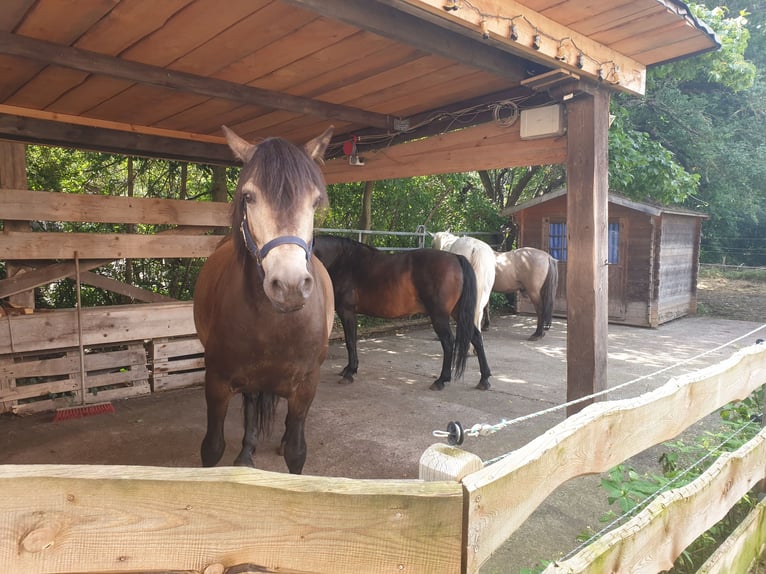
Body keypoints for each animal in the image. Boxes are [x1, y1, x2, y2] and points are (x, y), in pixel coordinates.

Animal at [192, 125, 335, 474]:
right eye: (248, 196)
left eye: (314, 202)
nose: (290, 285)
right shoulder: (216, 382)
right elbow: (212, 448)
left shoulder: (306, 386)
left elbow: (298, 451)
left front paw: (288, 448)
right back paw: (246, 452)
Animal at [313, 236, 492, 391]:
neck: (344, 261)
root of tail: (456, 257)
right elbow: (352, 341)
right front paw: (349, 369)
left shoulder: (347, 311)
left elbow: (350, 342)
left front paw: (350, 372)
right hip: (458, 312)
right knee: (476, 337)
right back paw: (484, 379)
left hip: (440, 316)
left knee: (448, 342)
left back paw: (441, 380)